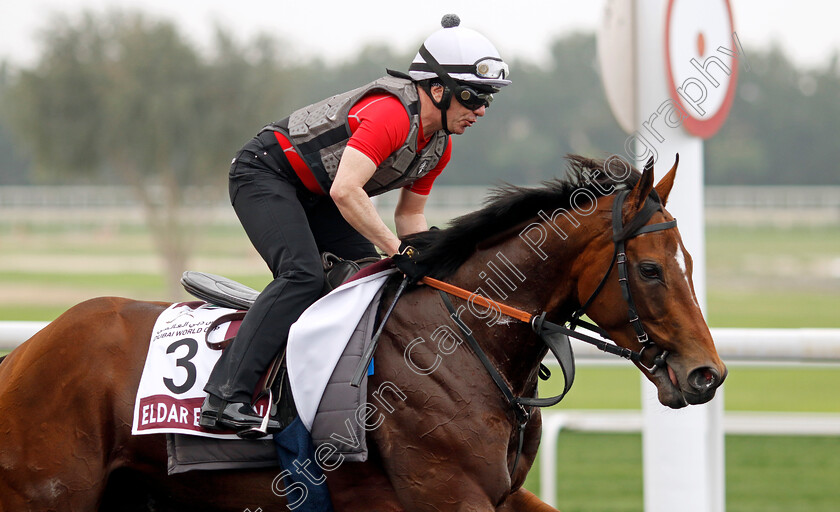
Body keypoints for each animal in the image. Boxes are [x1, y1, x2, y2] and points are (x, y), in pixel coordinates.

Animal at [0, 156, 720, 512]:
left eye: (690, 261)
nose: (706, 374)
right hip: (49, 497)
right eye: (651, 269)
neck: (463, 343)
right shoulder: (449, 496)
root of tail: (24, 354)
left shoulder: (503, 496)